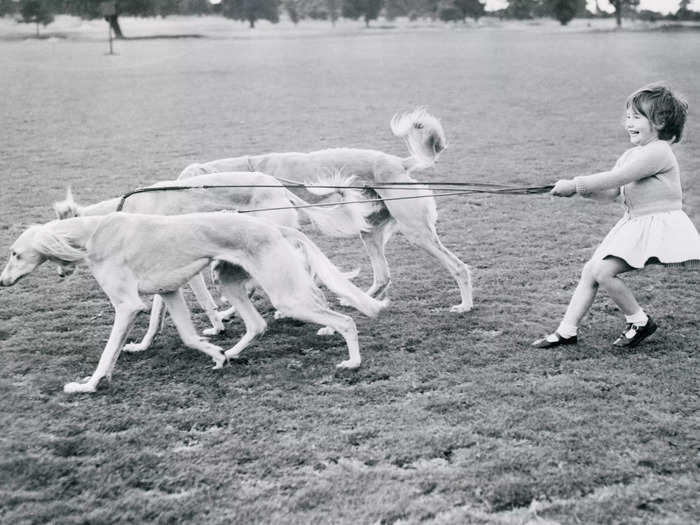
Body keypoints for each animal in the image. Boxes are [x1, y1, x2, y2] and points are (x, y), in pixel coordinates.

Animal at [0, 211, 388, 390]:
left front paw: (88, 385)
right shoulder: (169, 292)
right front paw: (215, 354)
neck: (93, 232)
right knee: (257, 324)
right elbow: (187, 336)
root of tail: (276, 228)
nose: (2, 281)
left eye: (16, 254)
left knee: (345, 320)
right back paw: (231, 353)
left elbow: (108, 352)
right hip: (230, 281)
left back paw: (352, 362)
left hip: (287, 295)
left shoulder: (127, 305)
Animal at [52, 170, 374, 348]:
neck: (123, 211)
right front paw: (144, 344)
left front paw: (217, 326)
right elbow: (161, 312)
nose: (58, 275)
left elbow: (195, 304)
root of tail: (277, 185)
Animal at [179, 107, 476, 312]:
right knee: (383, 276)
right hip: (369, 232)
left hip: (416, 233)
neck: (249, 172)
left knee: (459, 268)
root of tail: (398, 163)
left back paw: (465, 305)